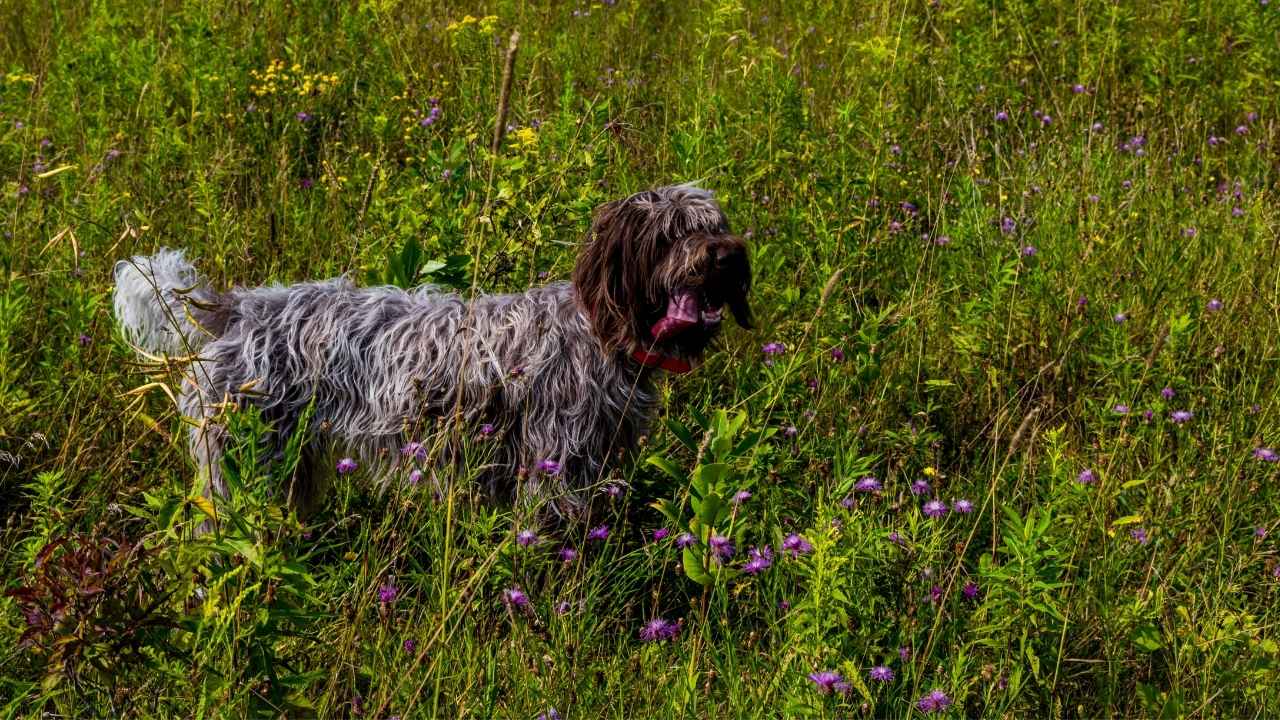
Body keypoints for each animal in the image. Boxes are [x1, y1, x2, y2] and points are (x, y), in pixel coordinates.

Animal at [112, 183, 747, 520]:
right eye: (671, 235)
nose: (727, 255)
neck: (601, 329)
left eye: (714, 224)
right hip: (241, 464)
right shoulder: (554, 468)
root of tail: (236, 309)